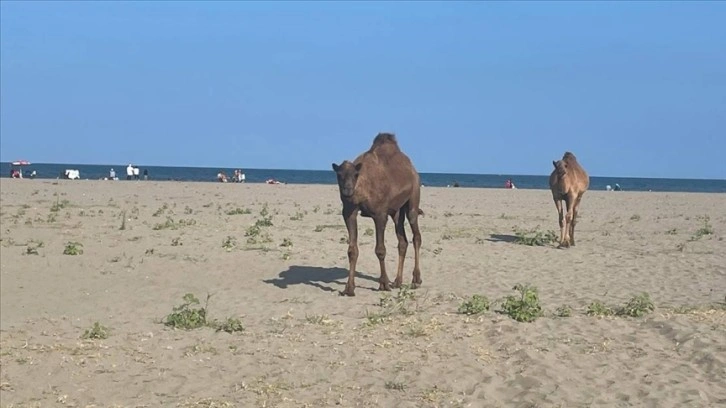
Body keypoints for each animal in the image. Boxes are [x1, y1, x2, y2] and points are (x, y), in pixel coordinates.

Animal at [332, 133, 424, 296]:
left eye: (355, 174)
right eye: (339, 175)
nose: (347, 190)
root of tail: (412, 169)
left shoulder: (380, 214)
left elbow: (380, 250)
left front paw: (383, 284)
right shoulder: (349, 212)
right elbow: (352, 250)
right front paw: (349, 288)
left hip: (413, 195)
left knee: (416, 235)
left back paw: (416, 280)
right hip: (396, 211)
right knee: (402, 241)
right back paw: (398, 281)